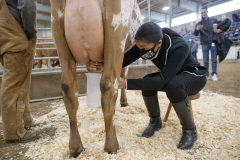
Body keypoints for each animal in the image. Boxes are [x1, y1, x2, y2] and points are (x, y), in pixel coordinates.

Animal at [49, 0, 142, 158]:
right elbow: (123, 76)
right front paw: (124, 102)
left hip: (57, 31)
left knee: (68, 87)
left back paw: (75, 147)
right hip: (116, 30)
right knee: (108, 84)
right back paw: (112, 146)